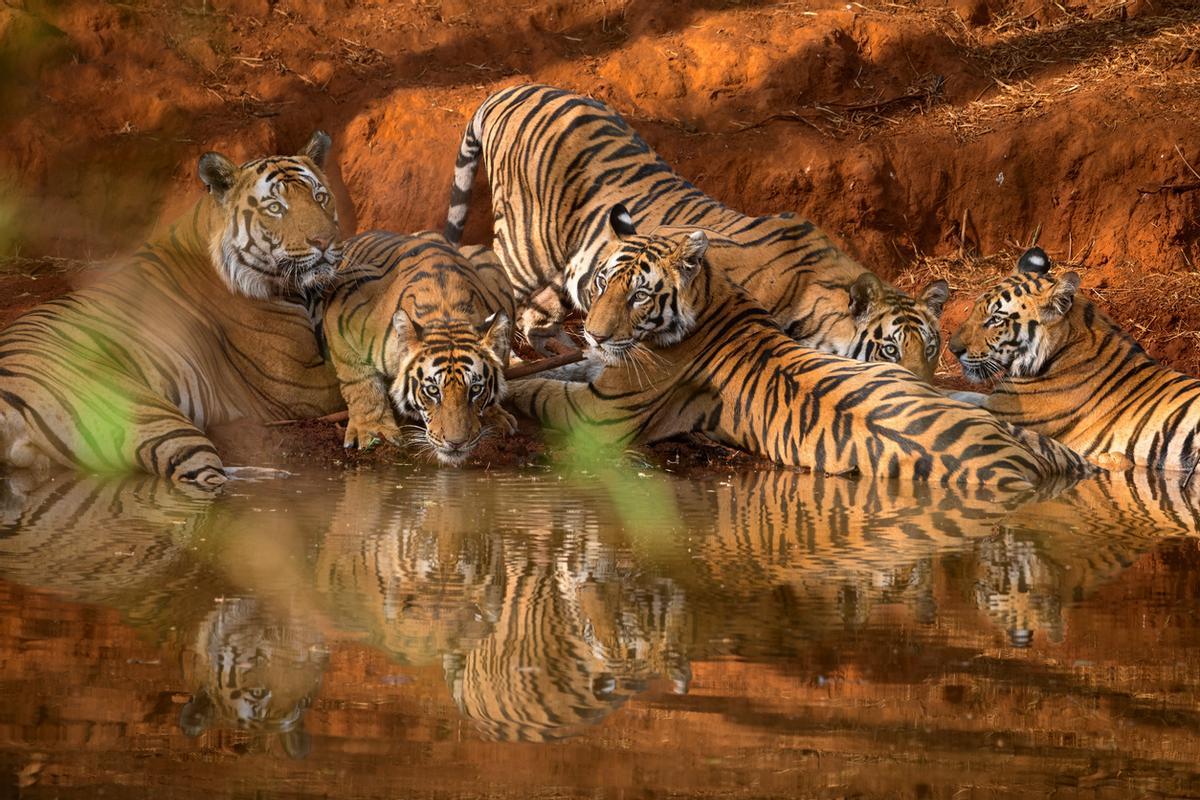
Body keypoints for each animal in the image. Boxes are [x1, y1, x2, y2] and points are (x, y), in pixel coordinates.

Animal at [323, 231, 516, 463]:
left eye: (476, 389)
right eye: (433, 390)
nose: (456, 443)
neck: (446, 311)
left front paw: (493, 414)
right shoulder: (340, 313)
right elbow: (359, 383)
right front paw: (373, 431)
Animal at [444, 83, 948, 381]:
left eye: (932, 348)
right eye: (889, 349)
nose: (924, 388)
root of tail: (514, 89)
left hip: (557, 271)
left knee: (539, 318)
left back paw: (569, 347)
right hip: (524, 247)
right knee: (497, 294)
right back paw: (509, 362)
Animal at [506, 226, 1094, 490]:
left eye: (639, 295)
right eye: (602, 283)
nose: (594, 333)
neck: (712, 295)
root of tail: (1017, 465)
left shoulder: (597, 412)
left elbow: (540, 389)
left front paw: (504, 387)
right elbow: (567, 370)